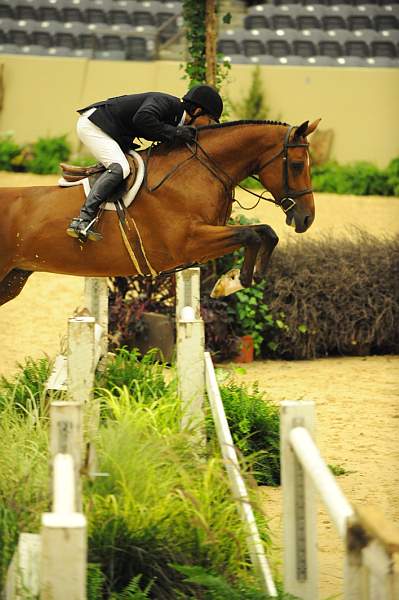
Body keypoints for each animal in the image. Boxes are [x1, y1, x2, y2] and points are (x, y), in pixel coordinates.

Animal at [0, 118, 320, 308]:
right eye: (296, 165)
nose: (307, 218)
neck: (199, 169)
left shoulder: (203, 241)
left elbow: (266, 232)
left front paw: (244, 278)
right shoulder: (188, 242)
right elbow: (251, 235)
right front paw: (230, 284)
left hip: (13, 279)